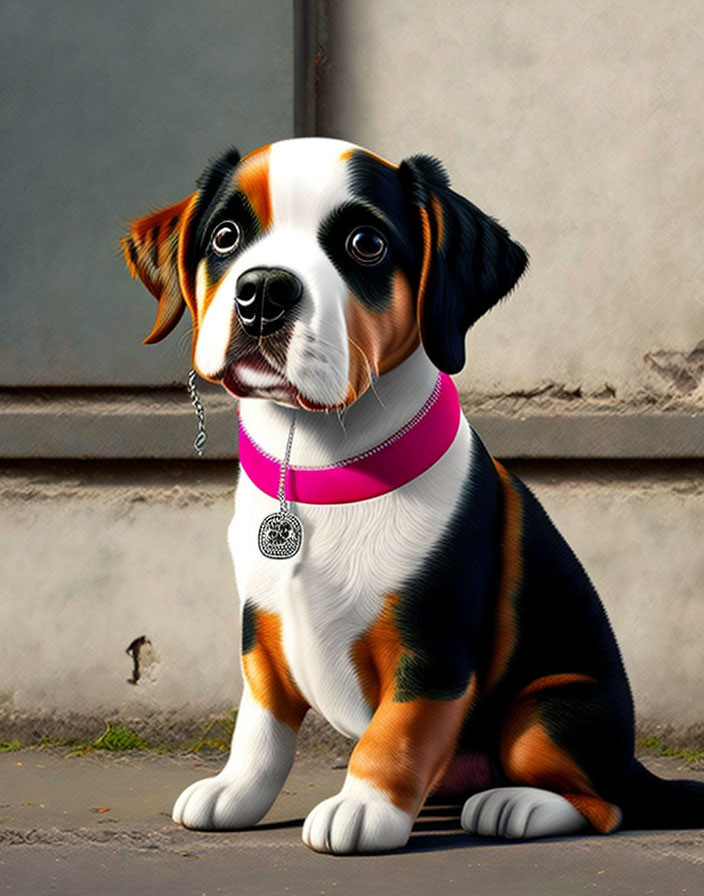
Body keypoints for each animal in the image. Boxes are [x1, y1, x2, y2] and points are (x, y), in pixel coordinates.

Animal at [122, 138, 704, 856]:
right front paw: (235, 790)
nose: (262, 292)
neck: (320, 465)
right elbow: (261, 728)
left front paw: (364, 806)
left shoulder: (431, 650)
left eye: (366, 243)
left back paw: (516, 805)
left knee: (604, 802)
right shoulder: (262, 630)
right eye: (226, 236)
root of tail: (632, 762)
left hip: (549, 711)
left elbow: (396, 734)